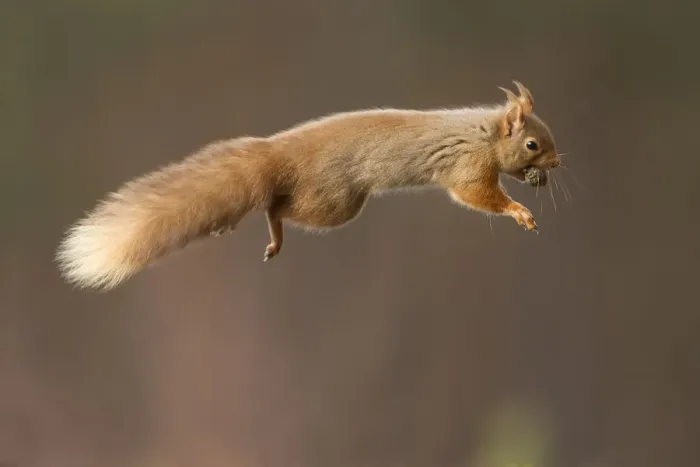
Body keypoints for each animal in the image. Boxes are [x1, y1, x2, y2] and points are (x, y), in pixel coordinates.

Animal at [56, 81, 561, 290]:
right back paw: (273, 233)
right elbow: (478, 196)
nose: (557, 163)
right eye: (533, 144)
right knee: (277, 207)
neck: (485, 132)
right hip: (333, 202)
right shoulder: (467, 167)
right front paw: (520, 212)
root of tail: (278, 153)